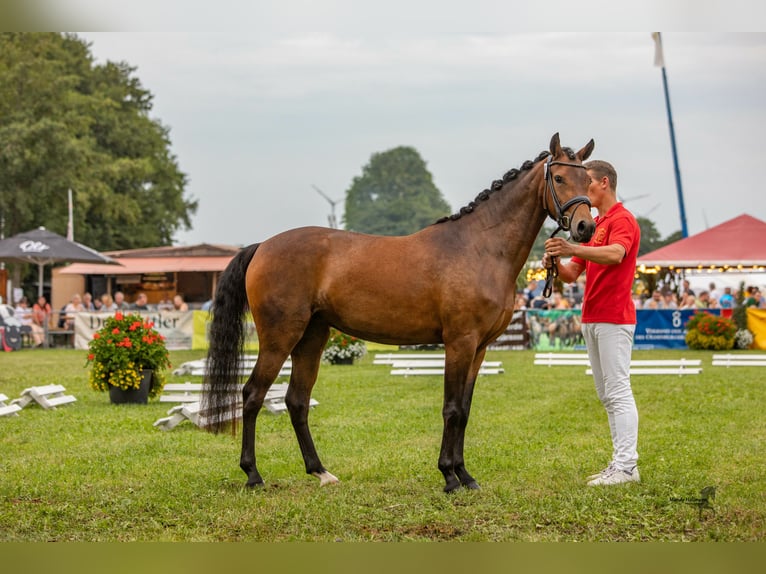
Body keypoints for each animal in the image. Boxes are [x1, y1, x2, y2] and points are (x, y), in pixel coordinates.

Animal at [203, 133, 596, 493]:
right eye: (559, 178)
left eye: (588, 180)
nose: (585, 227)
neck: (480, 248)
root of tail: (261, 247)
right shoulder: (460, 343)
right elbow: (452, 408)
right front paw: (449, 476)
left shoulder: (480, 349)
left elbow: (465, 410)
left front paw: (465, 475)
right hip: (279, 337)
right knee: (252, 395)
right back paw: (253, 474)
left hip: (312, 337)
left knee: (296, 401)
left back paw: (321, 472)